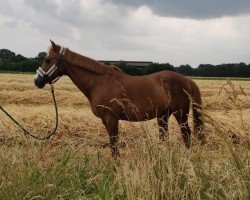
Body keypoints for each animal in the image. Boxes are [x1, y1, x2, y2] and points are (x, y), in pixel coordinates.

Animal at [33, 39, 205, 157]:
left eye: (47, 60)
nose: (37, 81)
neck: (99, 83)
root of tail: (186, 80)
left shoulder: (111, 118)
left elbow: (114, 145)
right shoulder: (106, 120)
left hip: (180, 114)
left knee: (186, 135)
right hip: (163, 116)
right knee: (165, 136)